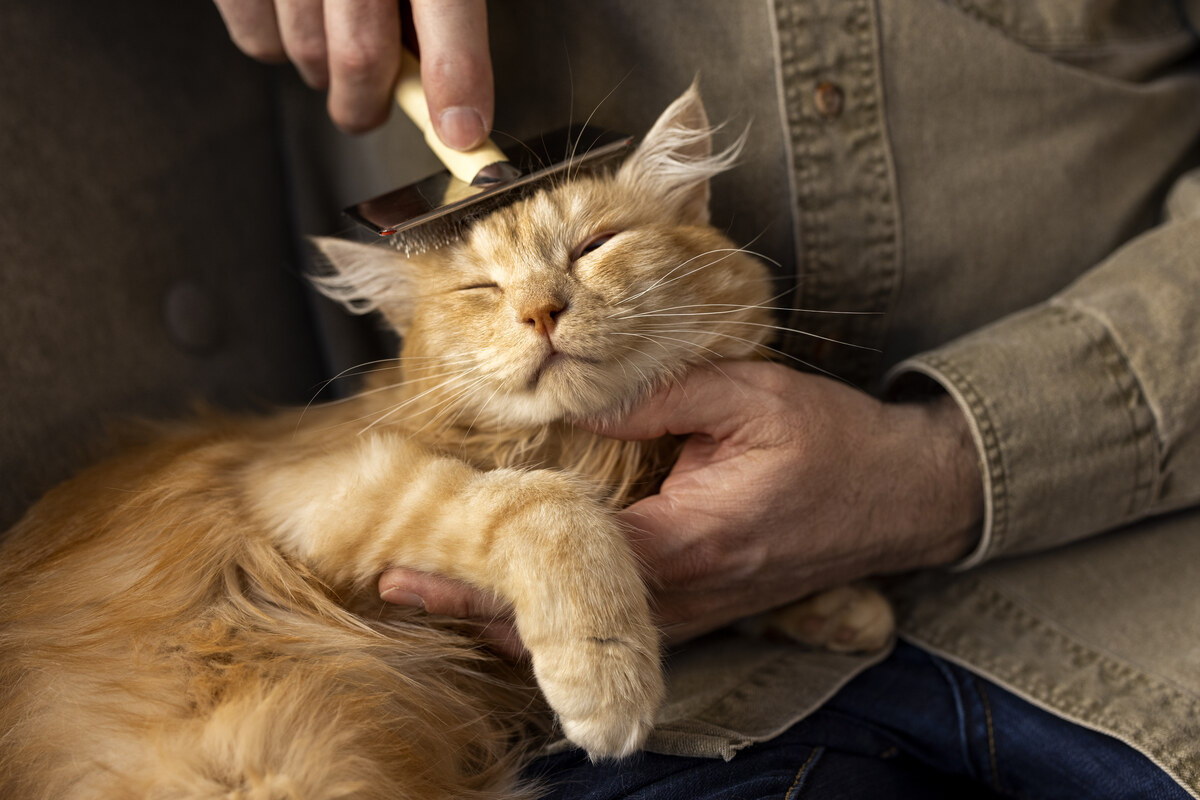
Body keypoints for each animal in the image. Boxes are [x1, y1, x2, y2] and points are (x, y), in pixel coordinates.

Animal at [0, 87, 892, 800]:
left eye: (593, 247)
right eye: (481, 289)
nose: (541, 310)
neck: (590, 451)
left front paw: (838, 606)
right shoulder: (326, 483)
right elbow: (545, 509)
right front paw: (606, 678)